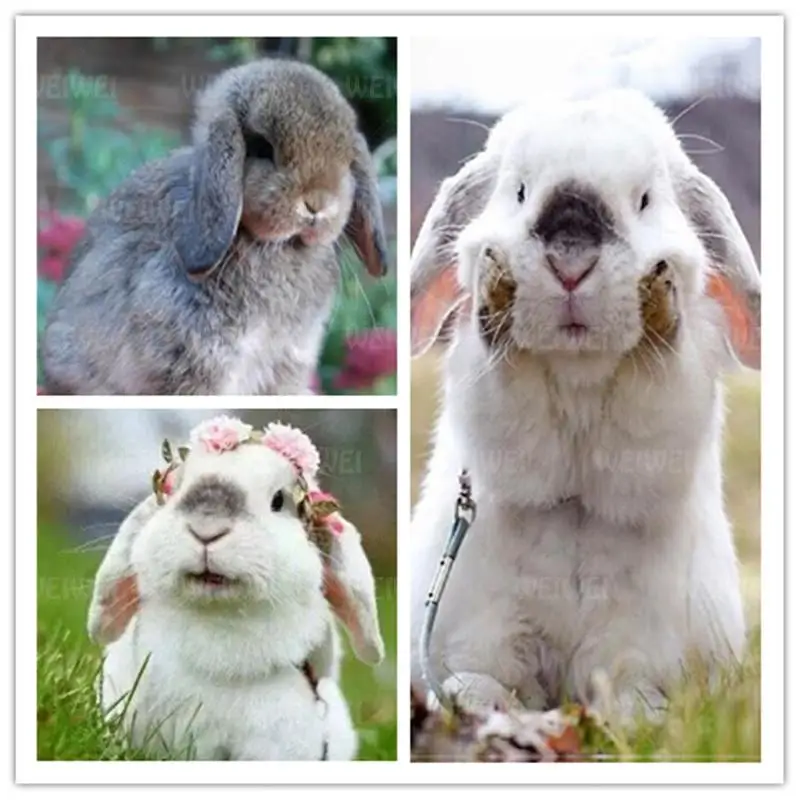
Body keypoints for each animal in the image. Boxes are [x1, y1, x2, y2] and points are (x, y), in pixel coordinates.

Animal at [409, 89, 760, 723]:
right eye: (519, 191)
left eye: (645, 200)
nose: (571, 260)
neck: (578, 371)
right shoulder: (495, 408)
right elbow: (507, 396)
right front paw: (495, 290)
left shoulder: (664, 413)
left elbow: (656, 382)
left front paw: (660, 301)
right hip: (488, 633)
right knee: (487, 678)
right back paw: (482, 698)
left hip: (638, 647)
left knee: (629, 689)